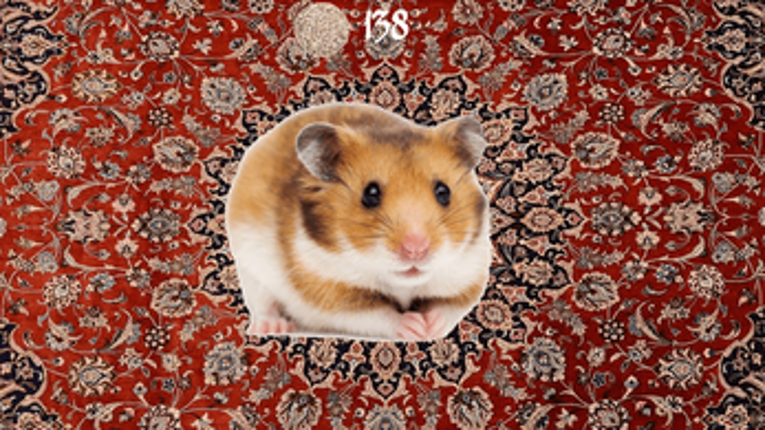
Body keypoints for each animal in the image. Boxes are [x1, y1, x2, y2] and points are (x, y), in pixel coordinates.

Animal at [225, 102, 491, 341]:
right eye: (370, 194)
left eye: (443, 192)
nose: (416, 250)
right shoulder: (327, 290)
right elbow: (378, 315)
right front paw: (413, 326)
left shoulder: (467, 276)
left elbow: (447, 308)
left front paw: (430, 326)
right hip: (250, 269)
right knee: (262, 303)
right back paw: (273, 327)